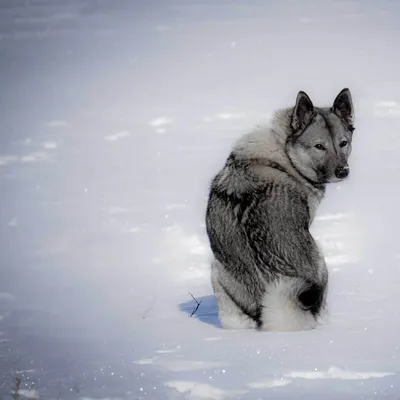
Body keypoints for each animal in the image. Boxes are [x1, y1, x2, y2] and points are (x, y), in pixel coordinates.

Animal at [205, 88, 354, 332]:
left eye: (343, 143)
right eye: (319, 146)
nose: (342, 171)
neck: (285, 152)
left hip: (217, 271)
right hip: (320, 262)